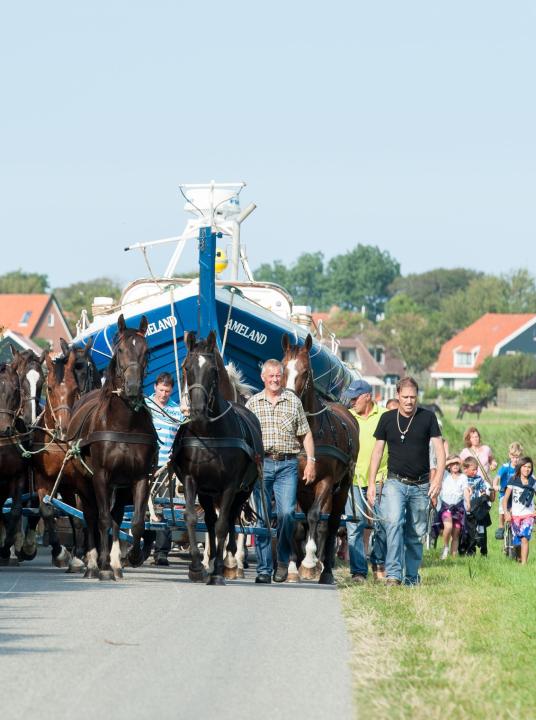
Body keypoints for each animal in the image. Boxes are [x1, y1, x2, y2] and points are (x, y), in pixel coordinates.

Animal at [65, 316, 156, 580]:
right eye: (121, 350)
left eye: (147, 351)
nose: (133, 387)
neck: (124, 423)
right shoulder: (101, 476)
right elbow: (102, 519)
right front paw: (100, 564)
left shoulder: (139, 478)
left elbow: (135, 522)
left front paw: (131, 556)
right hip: (84, 484)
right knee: (91, 516)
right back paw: (95, 562)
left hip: (120, 487)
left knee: (116, 517)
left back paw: (113, 561)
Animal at [171, 332, 262, 584]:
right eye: (186, 367)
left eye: (212, 370)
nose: (197, 409)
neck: (208, 433)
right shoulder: (192, 480)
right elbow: (192, 518)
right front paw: (196, 566)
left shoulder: (231, 485)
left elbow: (223, 525)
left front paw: (221, 569)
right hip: (208, 493)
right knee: (211, 520)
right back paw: (211, 561)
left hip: (243, 491)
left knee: (230, 518)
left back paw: (228, 561)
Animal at [280, 332, 360, 584]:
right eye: (283, 368)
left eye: (305, 371)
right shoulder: (295, 481)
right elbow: (297, 524)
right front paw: (293, 567)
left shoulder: (325, 481)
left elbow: (316, 517)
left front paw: (310, 560)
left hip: (340, 488)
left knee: (330, 524)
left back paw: (325, 570)